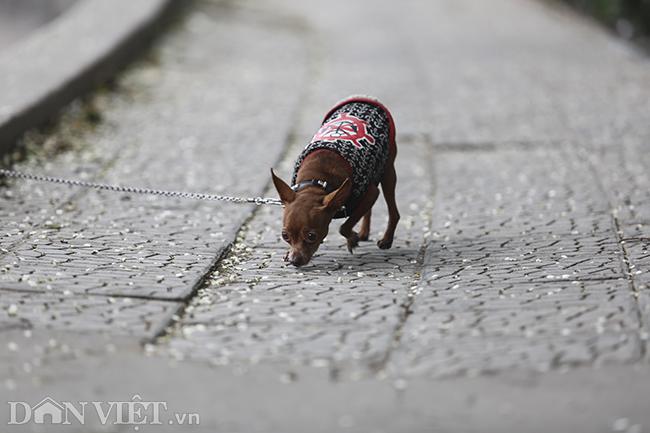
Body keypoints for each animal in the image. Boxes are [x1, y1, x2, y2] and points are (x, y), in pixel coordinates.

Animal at [270, 96, 398, 264]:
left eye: (311, 236)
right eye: (285, 236)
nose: (294, 261)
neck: (317, 181)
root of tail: (366, 99)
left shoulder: (372, 193)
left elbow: (344, 227)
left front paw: (352, 239)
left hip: (387, 171)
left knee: (393, 211)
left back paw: (386, 240)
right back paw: (364, 233)